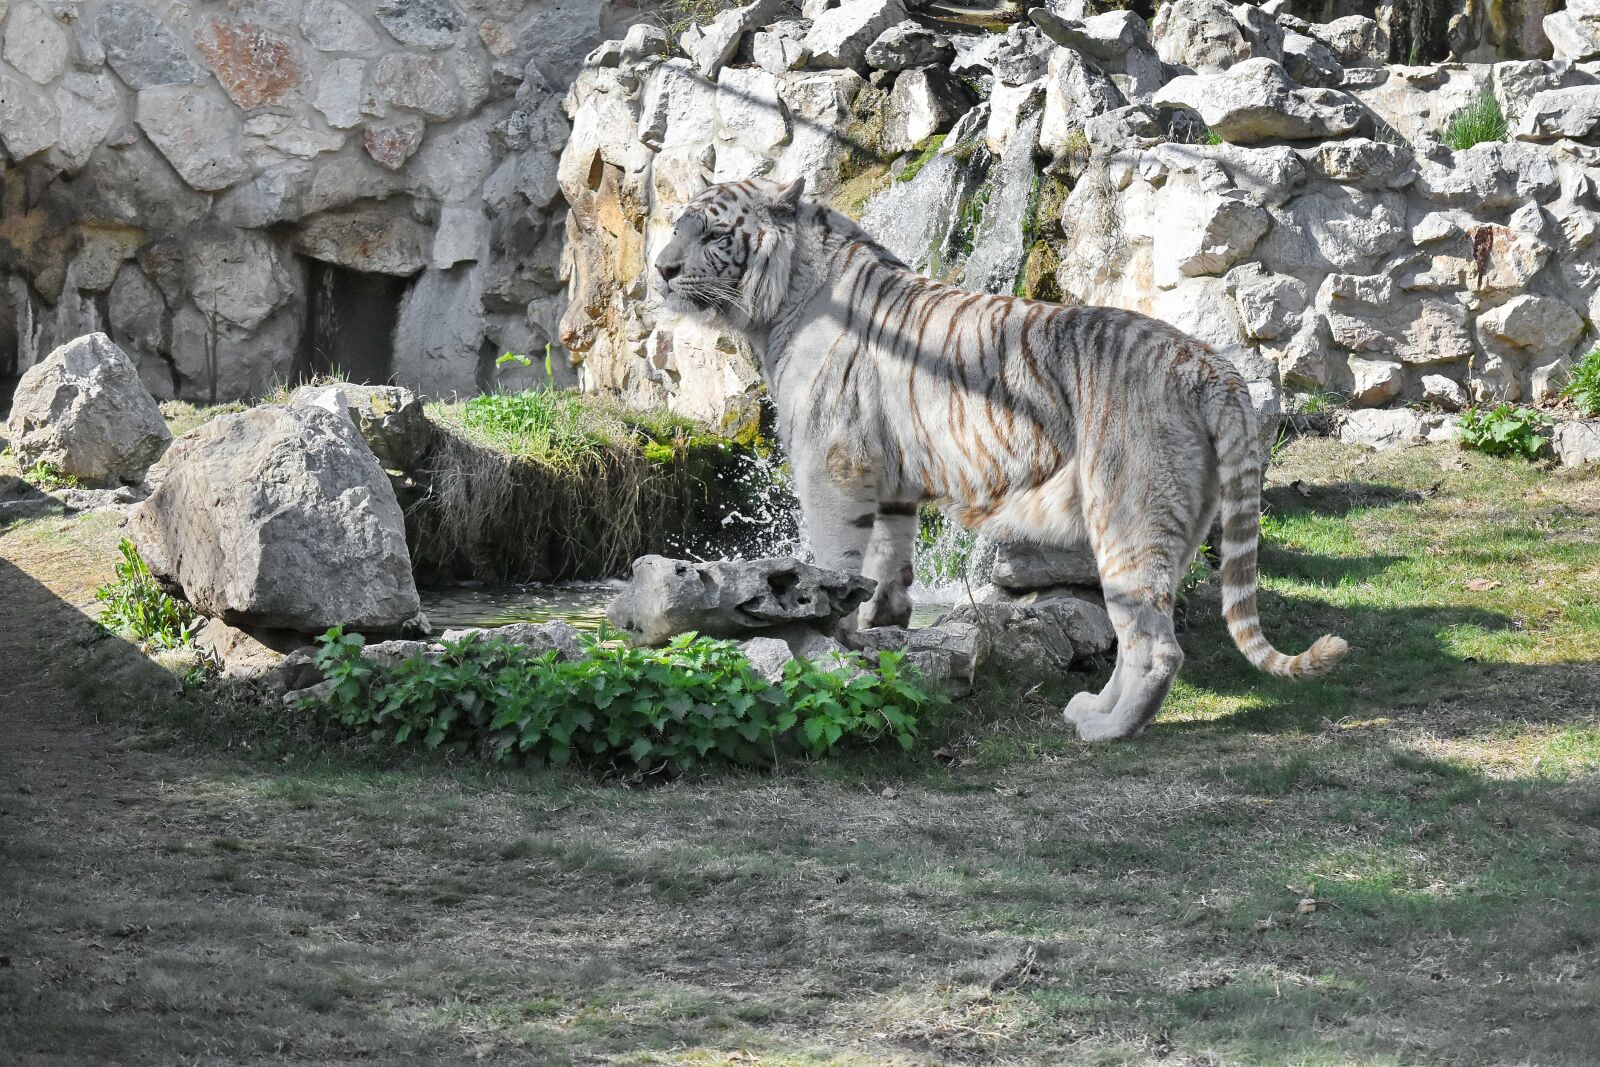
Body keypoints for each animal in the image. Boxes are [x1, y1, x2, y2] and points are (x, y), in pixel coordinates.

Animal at [652, 176, 1348, 741]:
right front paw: (877, 626)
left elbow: (833, 557)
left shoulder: (832, 468)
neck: (781, 303)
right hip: (1179, 519)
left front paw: (828, 637)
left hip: (1128, 513)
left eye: (712, 231)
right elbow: (887, 562)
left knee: (1156, 648)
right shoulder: (892, 478)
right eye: (679, 225)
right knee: (1138, 629)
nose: (660, 269)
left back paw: (1108, 731)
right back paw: (1090, 709)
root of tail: (1212, 368)